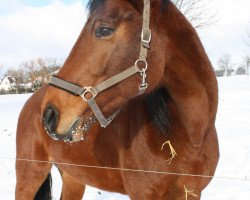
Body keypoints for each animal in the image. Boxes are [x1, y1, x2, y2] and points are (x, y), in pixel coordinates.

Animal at [15, 0, 219, 200]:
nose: (50, 114)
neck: (192, 138)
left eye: (104, 30)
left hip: (73, 178)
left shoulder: (192, 193)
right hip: (29, 176)